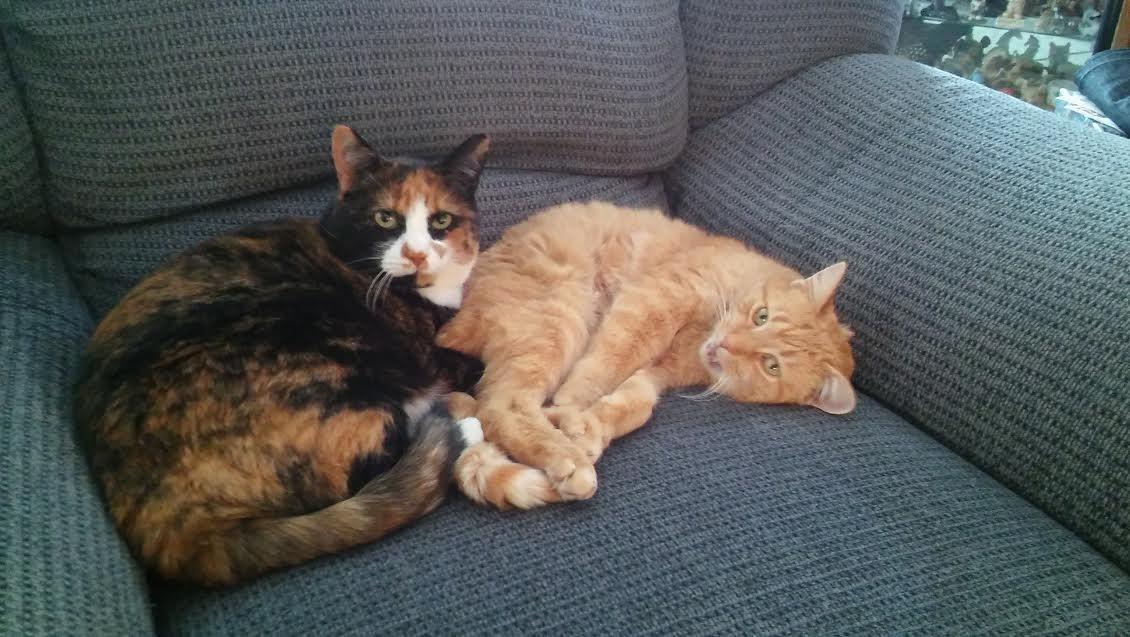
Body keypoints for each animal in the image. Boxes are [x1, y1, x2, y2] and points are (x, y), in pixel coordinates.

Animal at [75, 126, 494, 586]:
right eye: (386, 218)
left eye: (441, 221)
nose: (416, 255)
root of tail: (172, 530)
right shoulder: (432, 353)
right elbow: (478, 364)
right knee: (363, 467)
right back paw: (459, 427)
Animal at [437, 202, 856, 508]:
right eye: (762, 315)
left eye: (771, 365)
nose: (726, 345)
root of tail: (458, 315)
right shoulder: (659, 297)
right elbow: (610, 356)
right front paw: (570, 409)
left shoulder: (656, 375)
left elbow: (632, 406)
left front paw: (587, 428)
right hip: (559, 315)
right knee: (501, 406)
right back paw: (567, 460)